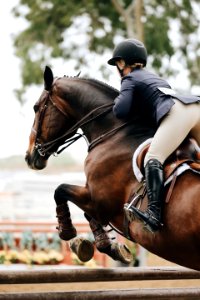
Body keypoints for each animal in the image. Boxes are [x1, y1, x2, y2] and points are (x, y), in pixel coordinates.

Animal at [25, 65, 200, 270]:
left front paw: (68, 233)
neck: (114, 133)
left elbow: (61, 191)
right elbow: (83, 211)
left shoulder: (99, 201)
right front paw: (106, 246)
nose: (29, 156)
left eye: (36, 107)